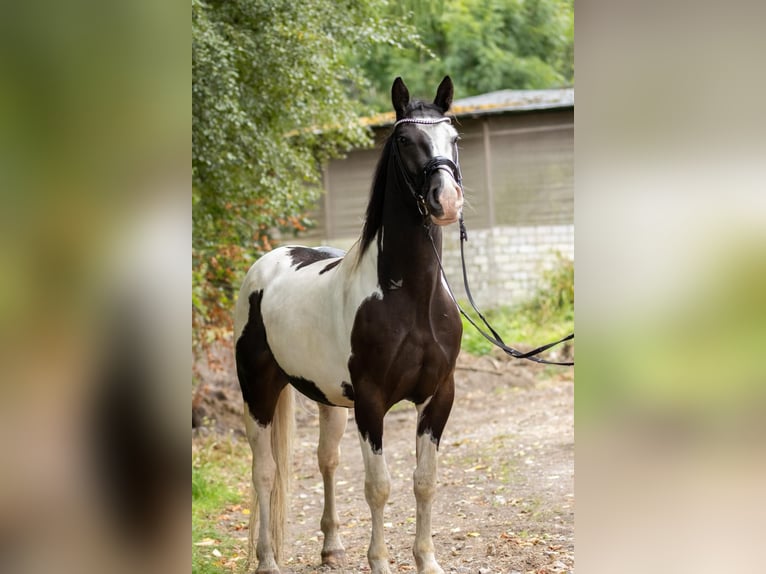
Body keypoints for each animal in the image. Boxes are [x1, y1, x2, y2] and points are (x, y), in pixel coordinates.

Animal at [234, 76, 464, 574]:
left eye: (454, 138)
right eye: (405, 140)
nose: (446, 201)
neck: (410, 298)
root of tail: (269, 262)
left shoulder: (438, 396)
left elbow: (424, 480)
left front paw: (426, 560)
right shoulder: (372, 403)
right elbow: (379, 486)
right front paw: (379, 562)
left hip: (329, 400)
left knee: (327, 460)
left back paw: (332, 547)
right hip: (258, 392)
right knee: (265, 473)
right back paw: (267, 560)